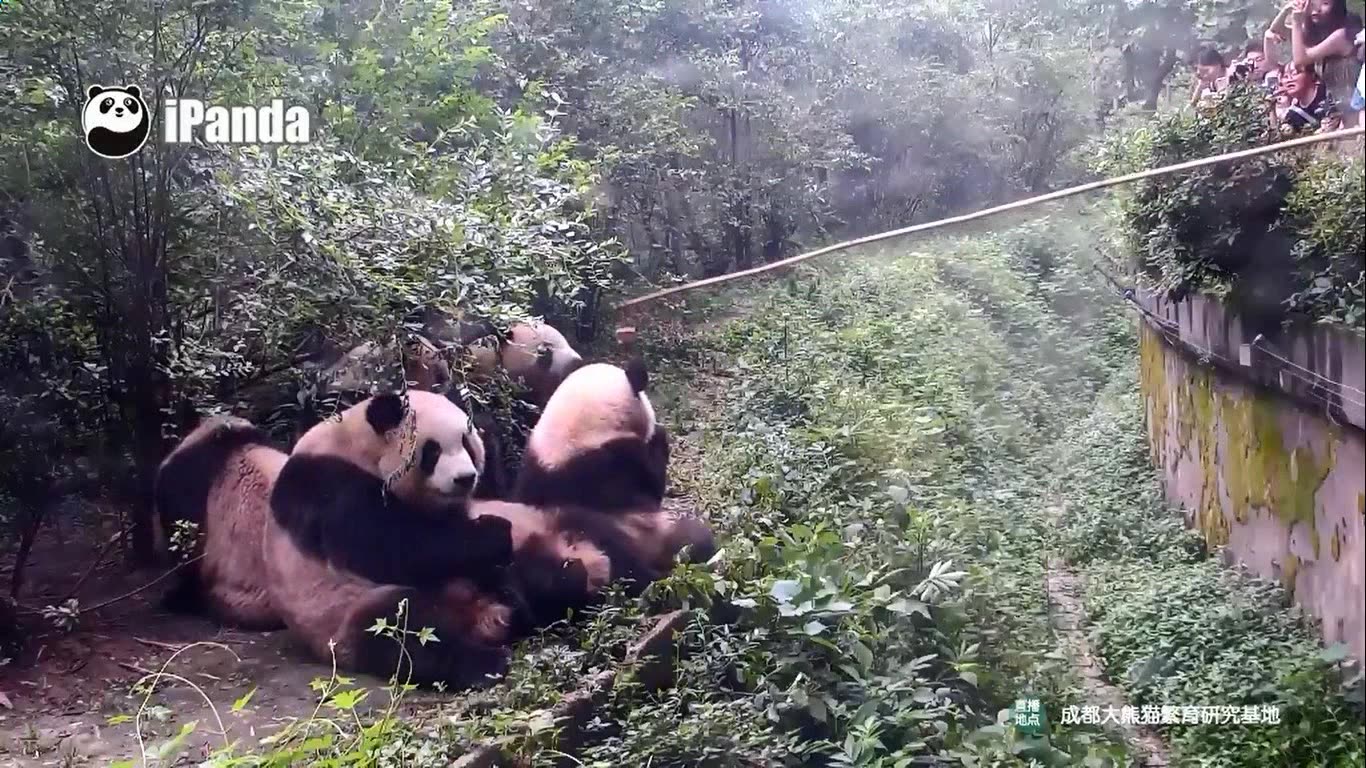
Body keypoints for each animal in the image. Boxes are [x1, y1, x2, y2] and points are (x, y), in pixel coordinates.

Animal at [263, 390, 519, 683]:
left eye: (467, 443)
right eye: (433, 451)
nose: (465, 478)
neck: (358, 446)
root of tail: (478, 616)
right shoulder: (329, 485)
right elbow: (392, 549)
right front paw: (496, 531)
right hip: (342, 611)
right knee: (404, 633)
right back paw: (486, 662)